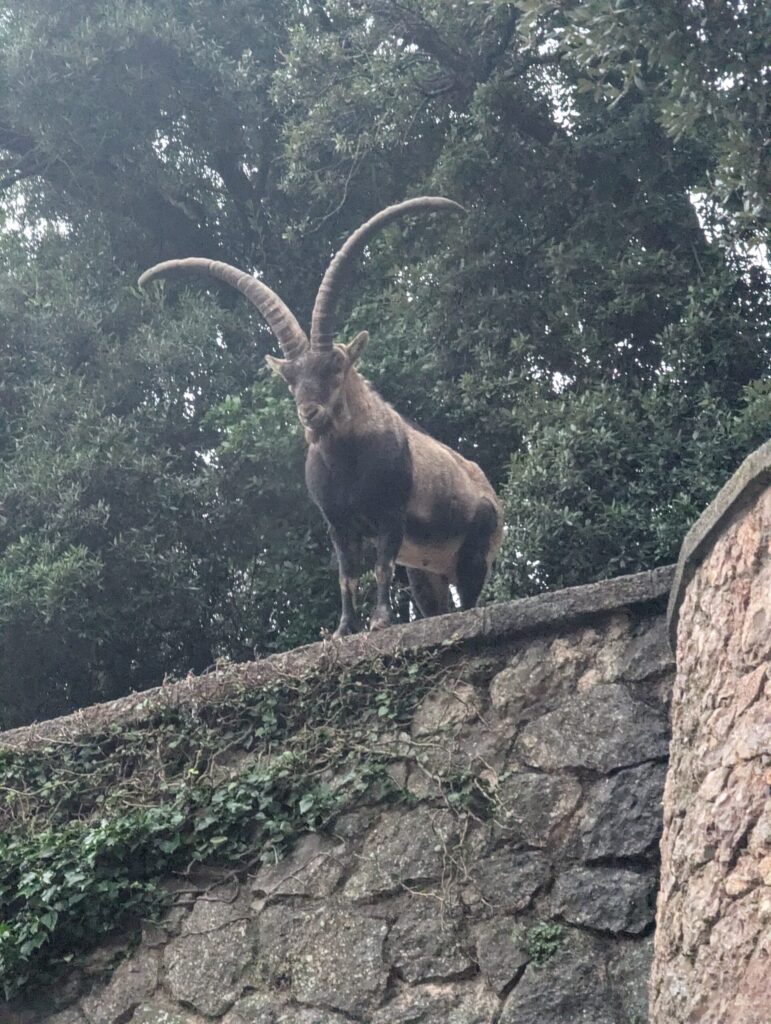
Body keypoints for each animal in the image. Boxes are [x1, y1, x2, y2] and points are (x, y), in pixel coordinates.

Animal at [139, 197, 502, 637]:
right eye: (291, 379)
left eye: (336, 366)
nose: (309, 413)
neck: (347, 465)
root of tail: (490, 491)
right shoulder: (338, 524)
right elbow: (346, 575)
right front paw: (343, 629)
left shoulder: (391, 514)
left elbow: (381, 567)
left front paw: (379, 621)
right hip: (425, 572)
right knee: (436, 603)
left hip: (474, 553)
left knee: (470, 594)